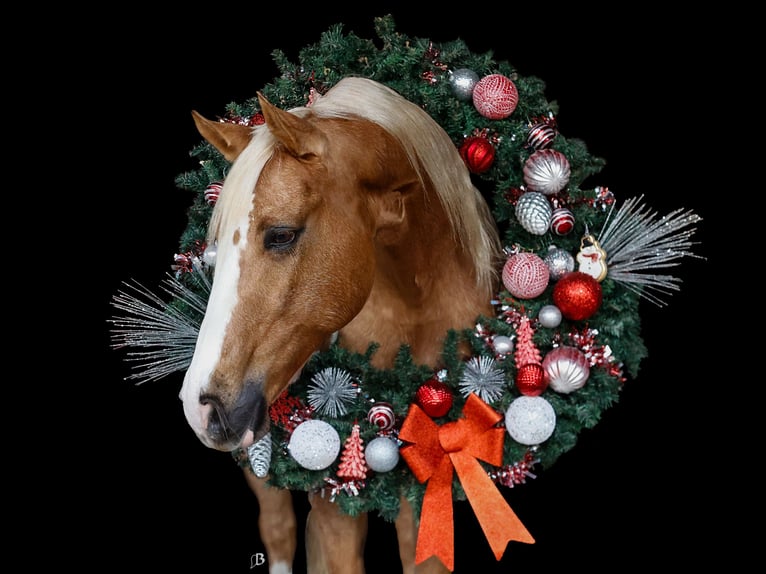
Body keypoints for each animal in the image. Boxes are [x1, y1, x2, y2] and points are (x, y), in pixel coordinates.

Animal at [180, 76, 504, 574]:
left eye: (281, 234)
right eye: (215, 248)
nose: (201, 406)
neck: (415, 306)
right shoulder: (332, 514)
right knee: (278, 530)